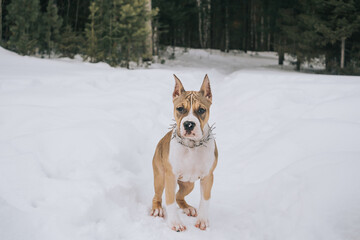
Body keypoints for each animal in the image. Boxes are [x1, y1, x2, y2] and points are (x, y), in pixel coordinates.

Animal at [150, 74, 218, 232]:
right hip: (160, 177)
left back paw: (187, 208)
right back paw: (157, 209)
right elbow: (169, 201)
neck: (191, 146)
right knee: (158, 195)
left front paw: (203, 220)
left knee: (178, 196)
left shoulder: (208, 177)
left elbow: (205, 200)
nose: (189, 124)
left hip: (188, 184)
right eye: (180, 109)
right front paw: (175, 223)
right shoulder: (170, 177)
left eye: (201, 110)